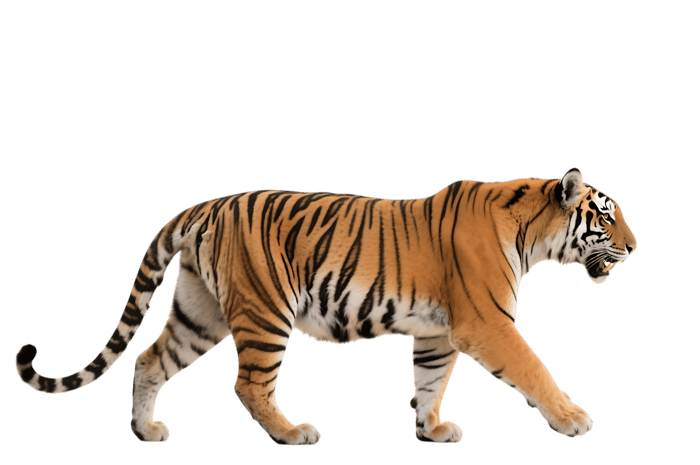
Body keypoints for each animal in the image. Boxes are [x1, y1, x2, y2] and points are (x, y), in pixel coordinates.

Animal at [15, 167, 636, 445]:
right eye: (606, 218)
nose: (635, 247)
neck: (533, 232)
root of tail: (208, 204)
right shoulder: (487, 323)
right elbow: (535, 370)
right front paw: (573, 418)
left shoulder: (437, 333)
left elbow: (430, 381)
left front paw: (431, 429)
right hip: (266, 312)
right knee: (248, 384)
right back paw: (292, 433)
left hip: (200, 313)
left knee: (148, 360)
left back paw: (146, 430)